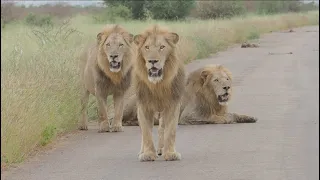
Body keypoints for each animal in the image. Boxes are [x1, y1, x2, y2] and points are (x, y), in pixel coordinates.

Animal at [122, 64, 258, 125]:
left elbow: (234, 114)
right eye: (216, 80)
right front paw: (226, 119)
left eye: (227, 79)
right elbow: (213, 117)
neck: (212, 99)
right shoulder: (188, 116)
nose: (227, 88)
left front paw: (248, 117)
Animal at [131, 24, 185, 161]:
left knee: (162, 128)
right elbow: (146, 132)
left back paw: (161, 149)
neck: (157, 85)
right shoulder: (143, 106)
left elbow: (170, 131)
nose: (152, 61)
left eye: (162, 47)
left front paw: (170, 153)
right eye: (147, 47)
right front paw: (148, 154)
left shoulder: (172, 104)